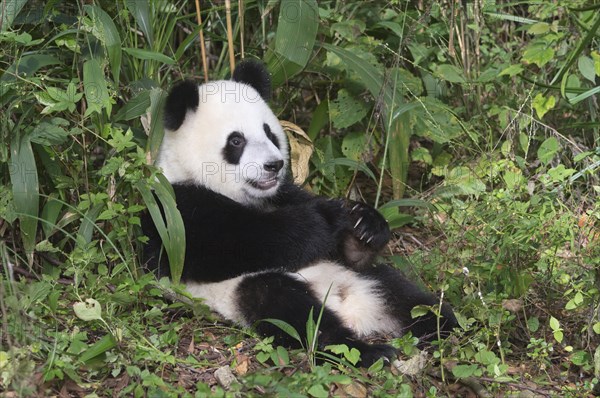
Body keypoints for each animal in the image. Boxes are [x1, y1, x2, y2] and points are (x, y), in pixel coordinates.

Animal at [144, 59, 454, 366]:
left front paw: (364, 224)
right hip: (243, 291)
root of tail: (353, 308)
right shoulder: (176, 211)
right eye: (236, 141)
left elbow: (345, 247)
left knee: (405, 296)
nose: (274, 165)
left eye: (269, 132)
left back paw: (446, 326)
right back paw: (367, 350)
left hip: (366, 277)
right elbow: (242, 244)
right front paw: (325, 219)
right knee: (295, 312)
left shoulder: (285, 194)